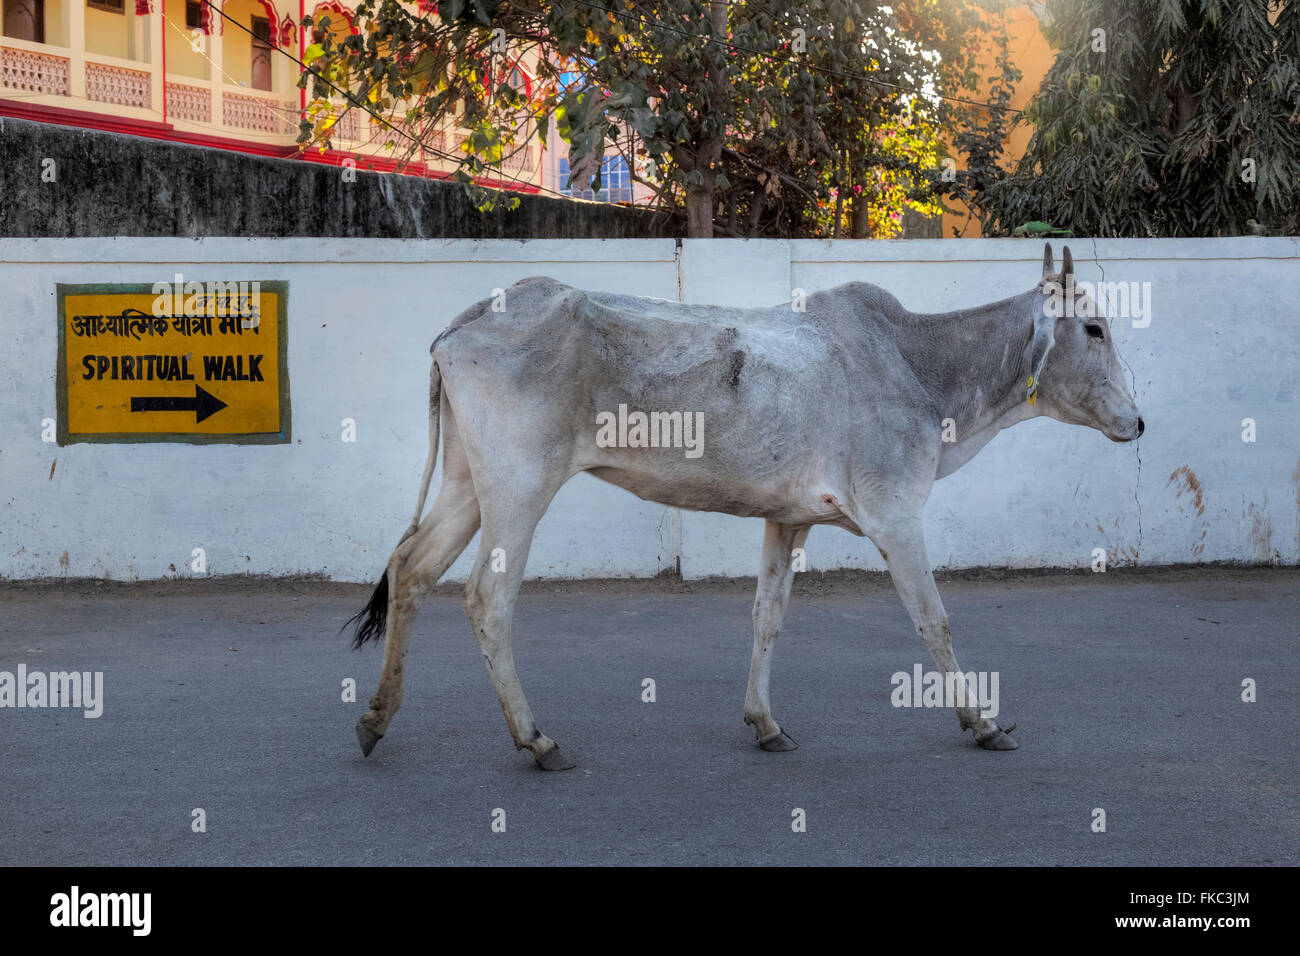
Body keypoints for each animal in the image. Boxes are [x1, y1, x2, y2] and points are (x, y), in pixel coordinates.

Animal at [345, 244, 1138, 770]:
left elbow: (767, 618)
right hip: (519, 488)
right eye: (1095, 329)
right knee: (487, 597)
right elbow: (933, 620)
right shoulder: (894, 515)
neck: (923, 366)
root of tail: (468, 319)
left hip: (468, 485)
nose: (1136, 422)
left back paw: (377, 719)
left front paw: (764, 722)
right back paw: (535, 738)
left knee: (411, 570)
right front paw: (981, 723)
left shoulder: (788, 519)